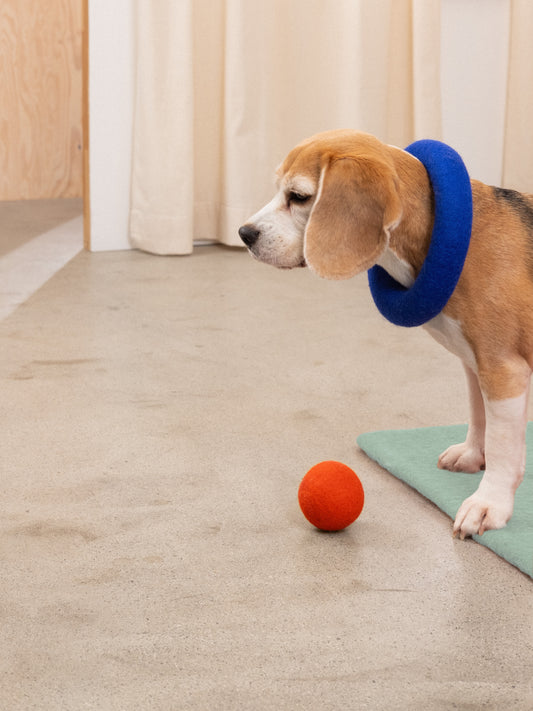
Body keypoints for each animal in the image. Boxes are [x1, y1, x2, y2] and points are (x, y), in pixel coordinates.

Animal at [239, 129, 532, 540]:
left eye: (298, 196)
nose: (244, 233)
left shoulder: (503, 369)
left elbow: (503, 443)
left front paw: (490, 504)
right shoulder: (473, 363)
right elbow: (479, 416)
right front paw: (474, 454)